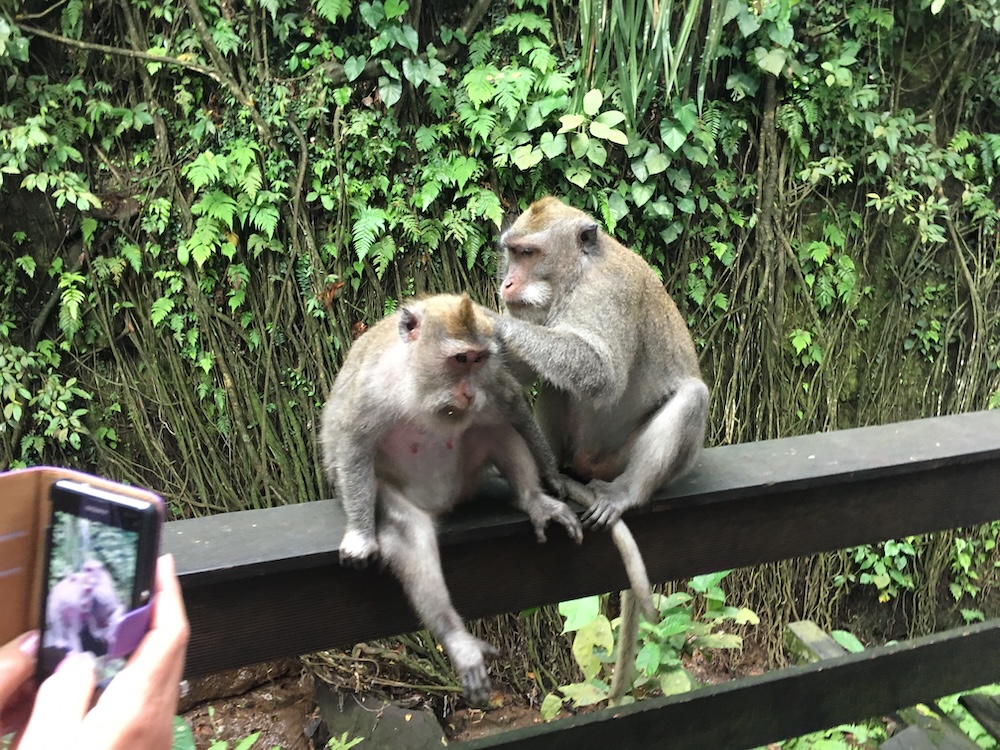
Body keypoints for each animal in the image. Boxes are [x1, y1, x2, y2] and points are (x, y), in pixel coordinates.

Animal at [319, 293, 584, 705]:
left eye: (478, 359)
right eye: (459, 359)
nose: (469, 392)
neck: (416, 385)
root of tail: (443, 501)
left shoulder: (492, 379)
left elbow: (514, 408)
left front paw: (553, 477)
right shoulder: (372, 386)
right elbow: (352, 443)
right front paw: (361, 536)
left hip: (467, 476)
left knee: (493, 427)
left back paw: (532, 499)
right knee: (406, 531)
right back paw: (454, 635)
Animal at [494, 196, 710, 703]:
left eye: (529, 253)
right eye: (510, 252)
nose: (506, 283)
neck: (576, 278)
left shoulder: (609, 294)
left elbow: (600, 370)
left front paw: (490, 322)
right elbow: (530, 373)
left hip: (635, 461)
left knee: (691, 398)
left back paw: (626, 492)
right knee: (557, 384)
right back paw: (555, 472)